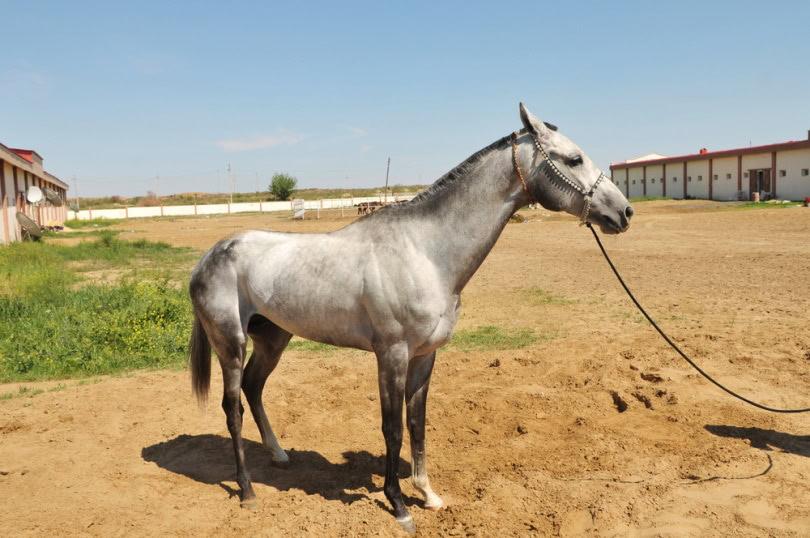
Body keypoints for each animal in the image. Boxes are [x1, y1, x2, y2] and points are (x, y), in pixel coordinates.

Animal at [188, 103, 633, 533]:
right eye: (574, 158)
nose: (624, 212)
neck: (426, 252)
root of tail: (210, 255)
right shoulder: (393, 355)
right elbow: (393, 427)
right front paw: (400, 506)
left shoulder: (424, 356)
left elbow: (417, 422)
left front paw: (429, 495)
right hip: (230, 343)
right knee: (232, 407)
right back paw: (247, 491)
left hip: (274, 339)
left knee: (253, 387)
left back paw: (279, 455)